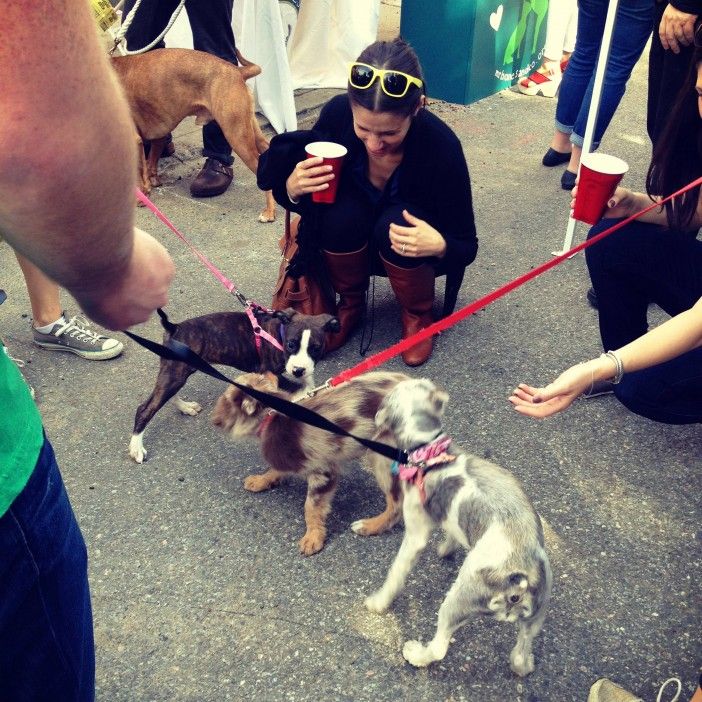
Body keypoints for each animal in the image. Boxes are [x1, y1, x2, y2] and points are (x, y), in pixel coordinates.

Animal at [111, 47, 276, 223]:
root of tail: (237, 71)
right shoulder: (158, 136)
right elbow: (151, 162)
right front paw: (151, 183)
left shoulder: (134, 140)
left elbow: (138, 171)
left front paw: (142, 196)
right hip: (250, 129)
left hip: (237, 136)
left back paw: (269, 211)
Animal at [210, 372, 408, 560]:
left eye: (225, 401)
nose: (213, 419)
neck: (272, 415)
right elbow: (276, 469)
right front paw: (261, 480)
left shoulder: (323, 471)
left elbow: (311, 507)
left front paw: (313, 537)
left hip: (382, 455)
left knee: (397, 504)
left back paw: (369, 526)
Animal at [366, 382, 552, 680]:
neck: (428, 450)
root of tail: (519, 579)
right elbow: (452, 533)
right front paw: (446, 549)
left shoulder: (415, 535)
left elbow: (395, 574)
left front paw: (379, 602)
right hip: (535, 618)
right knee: (521, 654)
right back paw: (525, 665)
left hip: (458, 601)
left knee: (439, 647)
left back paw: (416, 654)